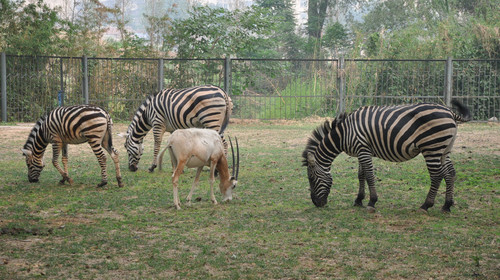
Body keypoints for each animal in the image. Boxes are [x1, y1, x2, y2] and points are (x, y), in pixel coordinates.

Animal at [302, 100, 470, 212]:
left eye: (311, 178)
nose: (316, 203)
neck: (344, 134)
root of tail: (449, 111)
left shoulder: (363, 149)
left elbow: (369, 175)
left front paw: (371, 202)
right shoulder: (361, 150)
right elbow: (361, 175)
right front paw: (359, 200)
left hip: (432, 148)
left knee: (436, 175)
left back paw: (426, 205)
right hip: (444, 149)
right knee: (450, 173)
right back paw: (447, 205)